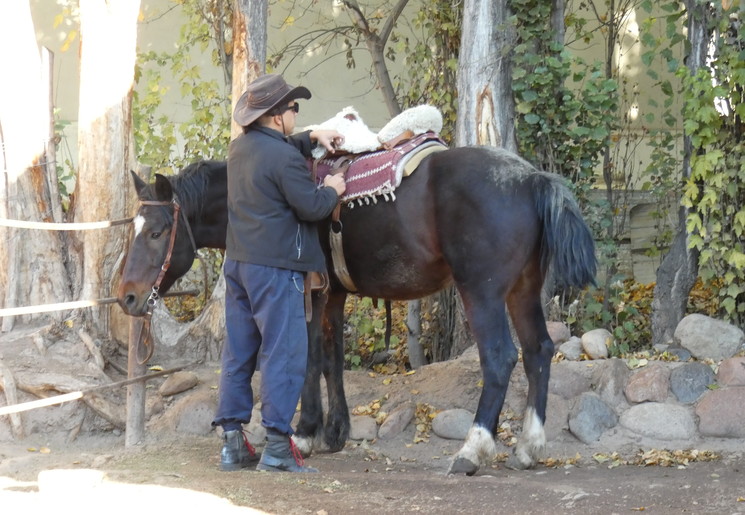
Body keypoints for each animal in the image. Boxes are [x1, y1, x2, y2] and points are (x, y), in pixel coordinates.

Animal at [117, 146, 596, 475]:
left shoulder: (309, 293)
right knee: (538, 351)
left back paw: (472, 450)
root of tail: (531, 178)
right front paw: (335, 432)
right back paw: (529, 447)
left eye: (157, 231)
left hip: (482, 291)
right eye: (133, 229)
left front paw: (305, 433)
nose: (127, 297)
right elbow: (332, 360)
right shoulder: (333, 295)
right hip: (522, 289)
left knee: (500, 358)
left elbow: (309, 358)